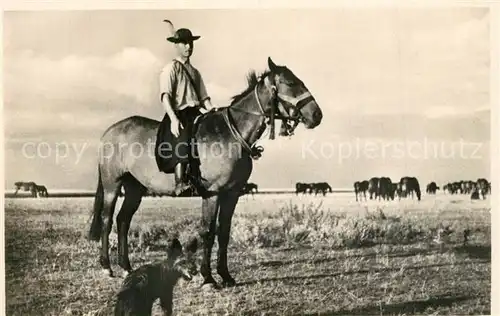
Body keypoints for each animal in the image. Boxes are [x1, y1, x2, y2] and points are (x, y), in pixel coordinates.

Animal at [87, 56, 324, 288]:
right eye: (291, 83)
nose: (317, 115)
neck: (231, 134)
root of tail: (109, 132)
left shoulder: (231, 194)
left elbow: (224, 232)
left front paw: (225, 275)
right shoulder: (213, 194)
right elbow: (208, 232)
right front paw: (208, 277)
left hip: (135, 188)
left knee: (123, 221)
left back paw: (126, 266)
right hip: (112, 185)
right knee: (108, 220)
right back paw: (107, 266)